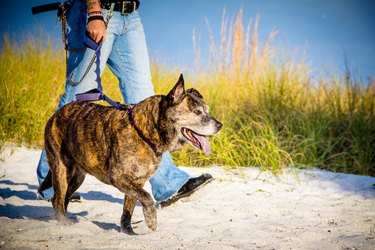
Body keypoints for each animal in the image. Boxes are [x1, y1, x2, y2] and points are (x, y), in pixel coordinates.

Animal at [39, 74, 223, 234]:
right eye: (197, 112)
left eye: (207, 110)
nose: (220, 125)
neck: (146, 132)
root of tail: (56, 114)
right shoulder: (119, 177)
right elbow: (147, 197)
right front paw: (151, 220)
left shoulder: (137, 182)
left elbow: (129, 207)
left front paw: (128, 231)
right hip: (61, 168)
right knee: (57, 199)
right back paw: (64, 222)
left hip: (78, 175)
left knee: (65, 197)